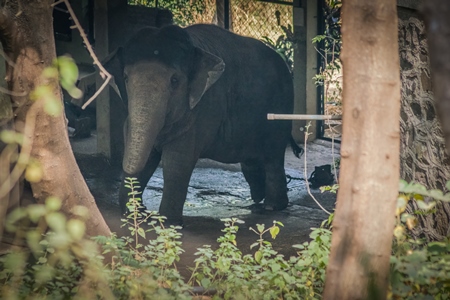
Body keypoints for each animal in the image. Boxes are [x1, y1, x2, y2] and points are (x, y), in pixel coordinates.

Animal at [105, 24, 302, 225]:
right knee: (252, 159)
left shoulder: (203, 110)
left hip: (281, 106)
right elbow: (147, 156)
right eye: (125, 78)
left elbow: (177, 162)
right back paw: (257, 201)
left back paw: (271, 206)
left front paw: (169, 222)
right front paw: (136, 215)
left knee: (272, 155)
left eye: (174, 80)